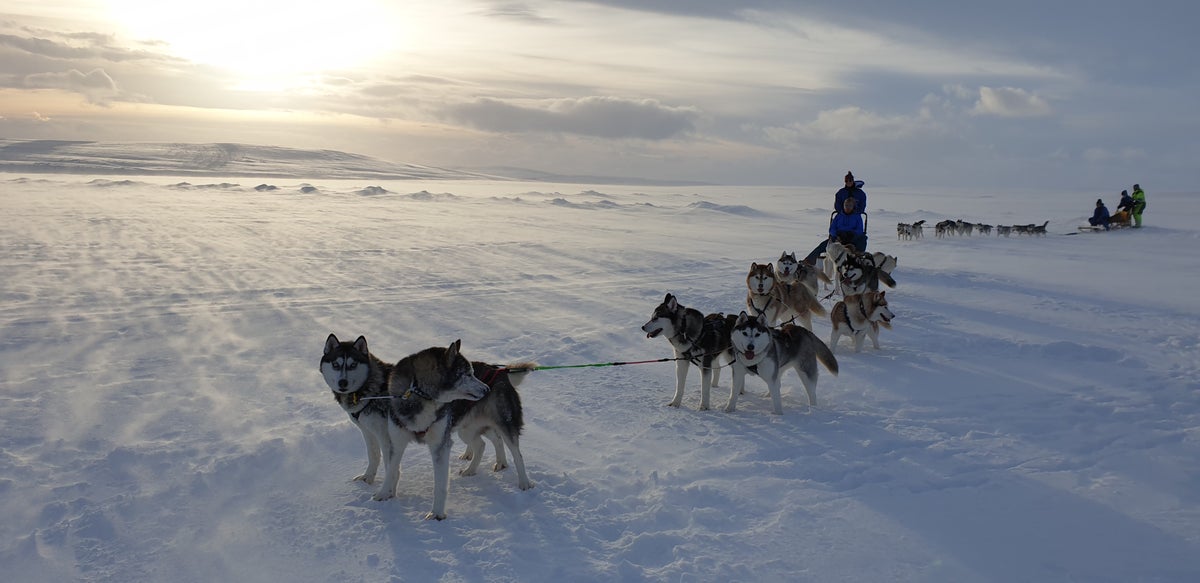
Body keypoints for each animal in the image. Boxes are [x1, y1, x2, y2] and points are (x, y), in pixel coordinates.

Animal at [319, 335, 393, 484]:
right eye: (335, 365)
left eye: (353, 365)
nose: (343, 382)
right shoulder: (368, 431)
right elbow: (373, 455)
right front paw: (368, 477)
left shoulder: (386, 436)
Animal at [381, 338, 537, 520]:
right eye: (467, 374)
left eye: (473, 373)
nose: (487, 389)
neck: (418, 393)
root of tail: (499, 371)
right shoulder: (397, 442)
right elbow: (391, 470)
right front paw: (383, 494)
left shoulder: (440, 446)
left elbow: (440, 485)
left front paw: (437, 514)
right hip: (466, 430)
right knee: (485, 443)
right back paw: (484, 466)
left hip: (505, 424)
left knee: (516, 453)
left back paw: (524, 482)